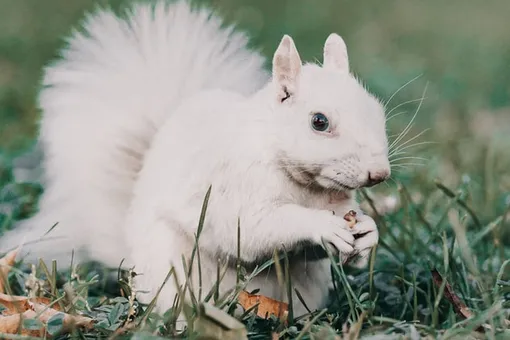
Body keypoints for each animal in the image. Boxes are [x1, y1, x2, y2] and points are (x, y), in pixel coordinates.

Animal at [0, 0, 390, 316]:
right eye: (319, 121)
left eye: (377, 110)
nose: (379, 173)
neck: (305, 186)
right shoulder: (233, 188)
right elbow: (255, 229)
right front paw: (321, 226)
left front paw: (368, 233)